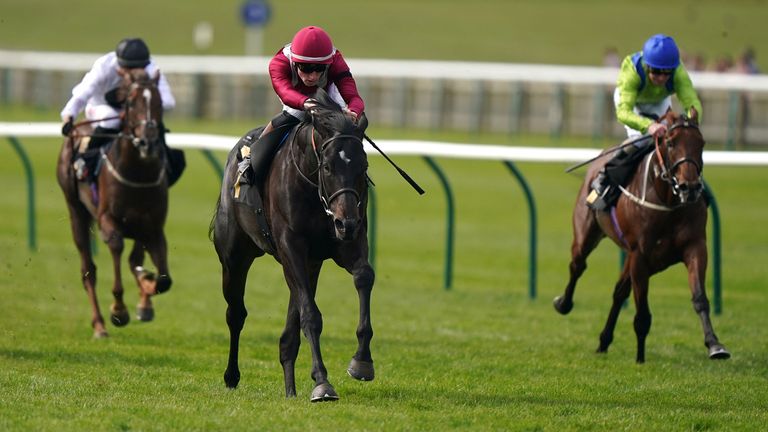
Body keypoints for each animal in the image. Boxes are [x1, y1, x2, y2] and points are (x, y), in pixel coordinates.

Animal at [56, 68, 171, 338]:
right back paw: (99, 324)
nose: (148, 142)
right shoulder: (108, 220)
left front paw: (146, 289)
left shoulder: (153, 226)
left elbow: (162, 279)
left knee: (134, 260)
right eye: (131, 102)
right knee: (88, 271)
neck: (137, 174)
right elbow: (117, 248)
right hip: (76, 210)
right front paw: (119, 311)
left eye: (159, 103)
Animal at [208, 89, 376, 404]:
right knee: (235, 314)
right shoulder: (291, 246)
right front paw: (322, 383)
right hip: (235, 256)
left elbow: (364, 276)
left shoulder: (345, 242)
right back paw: (232, 376)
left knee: (289, 332)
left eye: (363, 166)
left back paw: (290, 389)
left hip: (309, 264)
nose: (345, 223)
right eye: (327, 166)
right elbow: (310, 315)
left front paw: (362, 361)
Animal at [556, 108, 728, 362]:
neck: (667, 201)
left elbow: (699, 298)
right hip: (586, 234)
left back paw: (603, 341)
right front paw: (640, 359)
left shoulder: (695, 247)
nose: (690, 187)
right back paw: (563, 304)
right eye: (670, 142)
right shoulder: (640, 256)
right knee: (577, 265)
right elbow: (643, 314)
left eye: (702, 143)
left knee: (619, 291)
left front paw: (715, 345)